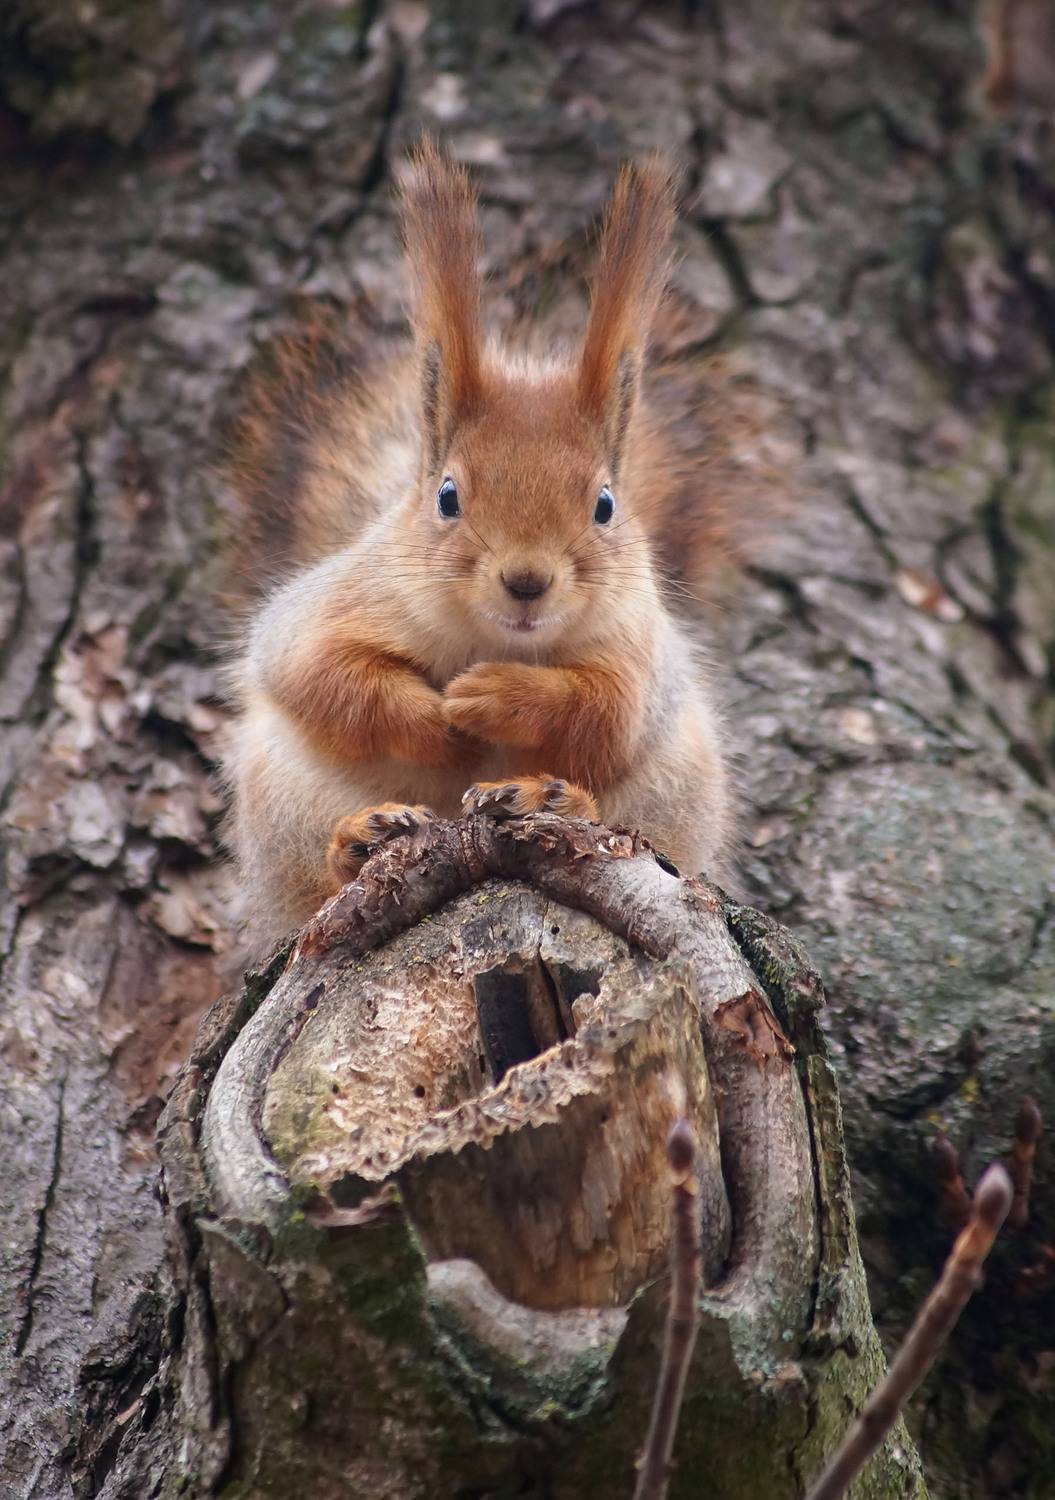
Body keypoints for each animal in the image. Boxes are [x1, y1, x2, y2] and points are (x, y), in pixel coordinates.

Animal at [223, 138, 751, 951]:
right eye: (447, 496)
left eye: (605, 505)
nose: (527, 581)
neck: (492, 637)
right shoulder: (332, 607)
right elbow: (323, 674)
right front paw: (437, 723)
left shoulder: (638, 654)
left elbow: (604, 712)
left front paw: (491, 698)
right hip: (283, 799)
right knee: (318, 874)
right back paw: (360, 839)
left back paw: (550, 798)